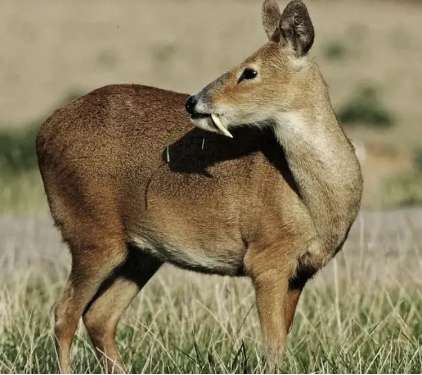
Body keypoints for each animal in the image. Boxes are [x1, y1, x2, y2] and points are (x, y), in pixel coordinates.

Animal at [35, 0, 362, 374]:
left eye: (250, 72)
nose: (193, 101)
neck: (313, 201)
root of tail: (43, 132)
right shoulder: (266, 258)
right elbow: (273, 347)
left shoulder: (300, 272)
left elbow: (280, 343)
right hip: (91, 233)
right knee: (64, 313)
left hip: (141, 253)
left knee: (98, 316)